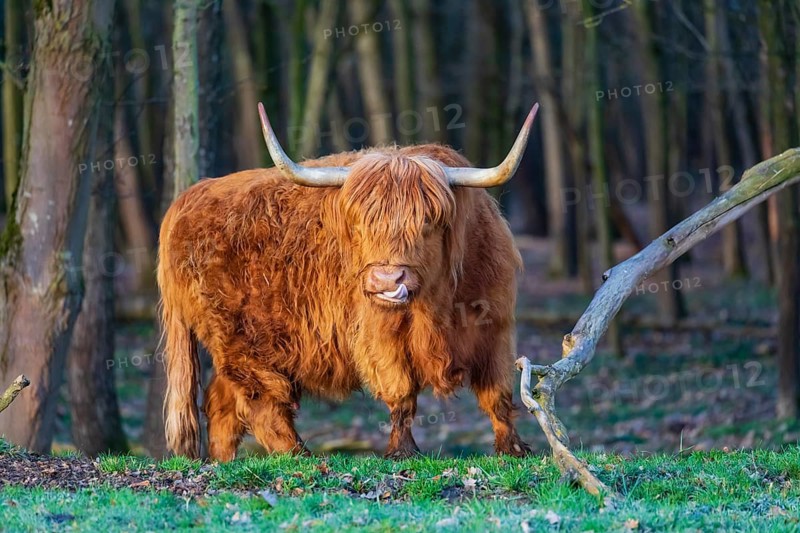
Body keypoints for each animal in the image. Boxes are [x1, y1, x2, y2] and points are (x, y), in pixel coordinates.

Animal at [158, 102, 539, 461]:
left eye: (428, 221)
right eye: (360, 223)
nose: (386, 279)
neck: (436, 306)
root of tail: (188, 199)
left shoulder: (494, 328)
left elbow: (497, 395)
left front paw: (513, 449)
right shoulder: (381, 335)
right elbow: (401, 393)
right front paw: (402, 450)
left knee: (222, 403)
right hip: (238, 340)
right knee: (260, 401)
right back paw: (300, 455)